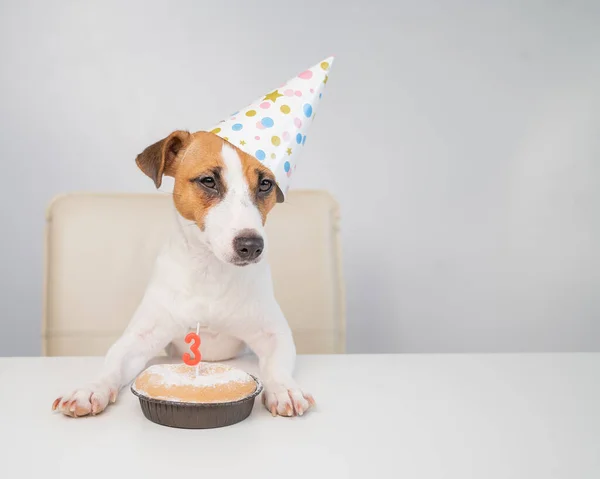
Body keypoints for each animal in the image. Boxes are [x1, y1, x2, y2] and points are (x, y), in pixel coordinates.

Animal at [51, 129, 314, 418]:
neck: (210, 271)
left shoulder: (273, 334)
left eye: (265, 184)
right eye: (208, 181)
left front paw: (284, 389)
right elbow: (112, 364)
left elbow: (277, 366)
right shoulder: (138, 339)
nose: (252, 245)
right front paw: (89, 389)